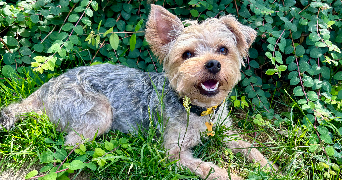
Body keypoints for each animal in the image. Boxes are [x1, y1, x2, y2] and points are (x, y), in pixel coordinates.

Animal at [0, 4, 276, 180]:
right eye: (187, 54)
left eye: (223, 50)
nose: (213, 64)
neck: (199, 110)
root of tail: (48, 86)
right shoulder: (173, 153)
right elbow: (212, 169)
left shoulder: (226, 132)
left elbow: (250, 147)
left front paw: (269, 167)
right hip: (100, 112)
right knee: (72, 146)